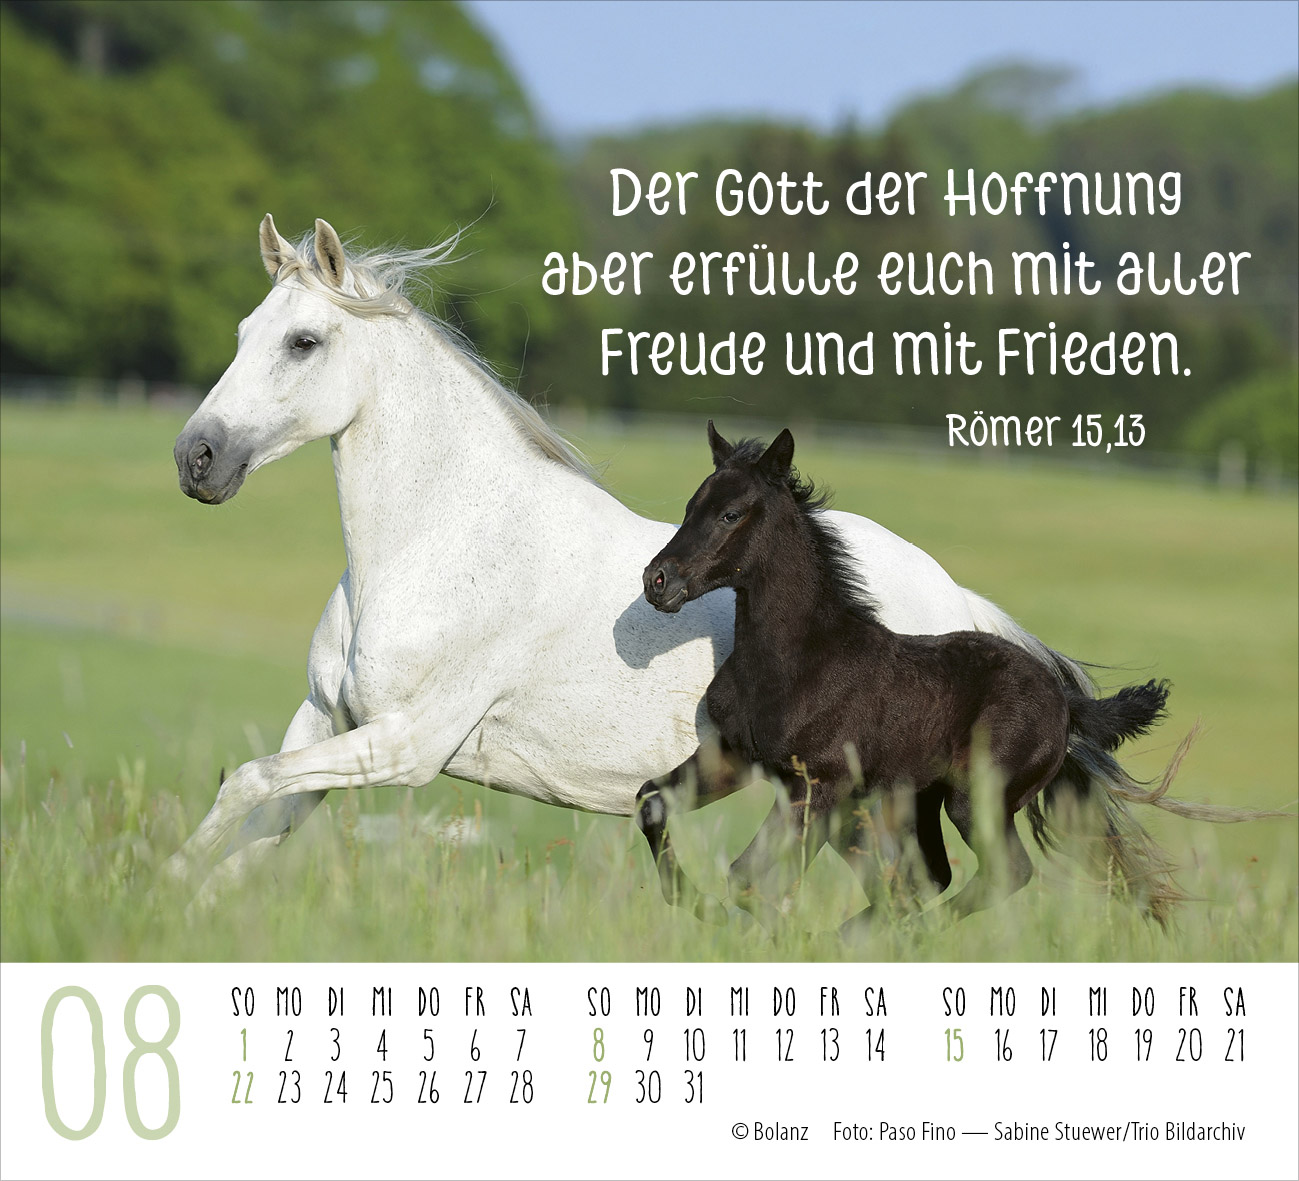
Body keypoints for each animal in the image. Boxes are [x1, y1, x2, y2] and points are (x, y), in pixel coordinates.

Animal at [159, 215, 1173, 904]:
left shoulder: (406, 747)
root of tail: (968, 611)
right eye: (245, 330)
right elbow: (250, 818)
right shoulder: (324, 722)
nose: (196, 458)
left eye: (303, 341)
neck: (441, 542)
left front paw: (154, 887)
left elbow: (243, 784)